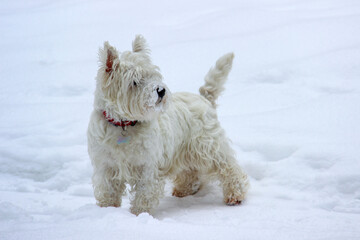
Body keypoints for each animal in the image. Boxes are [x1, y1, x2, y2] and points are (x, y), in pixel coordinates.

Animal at [88, 34, 249, 216]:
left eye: (153, 75)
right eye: (134, 82)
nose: (161, 90)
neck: (124, 124)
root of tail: (204, 98)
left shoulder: (147, 167)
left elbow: (144, 194)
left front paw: (139, 214)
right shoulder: (106, 166)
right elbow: (108, 192)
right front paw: (107, 210)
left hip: (208, 146)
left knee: (228, 167)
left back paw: (235, 195)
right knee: (191, 172)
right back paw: (184, 190)